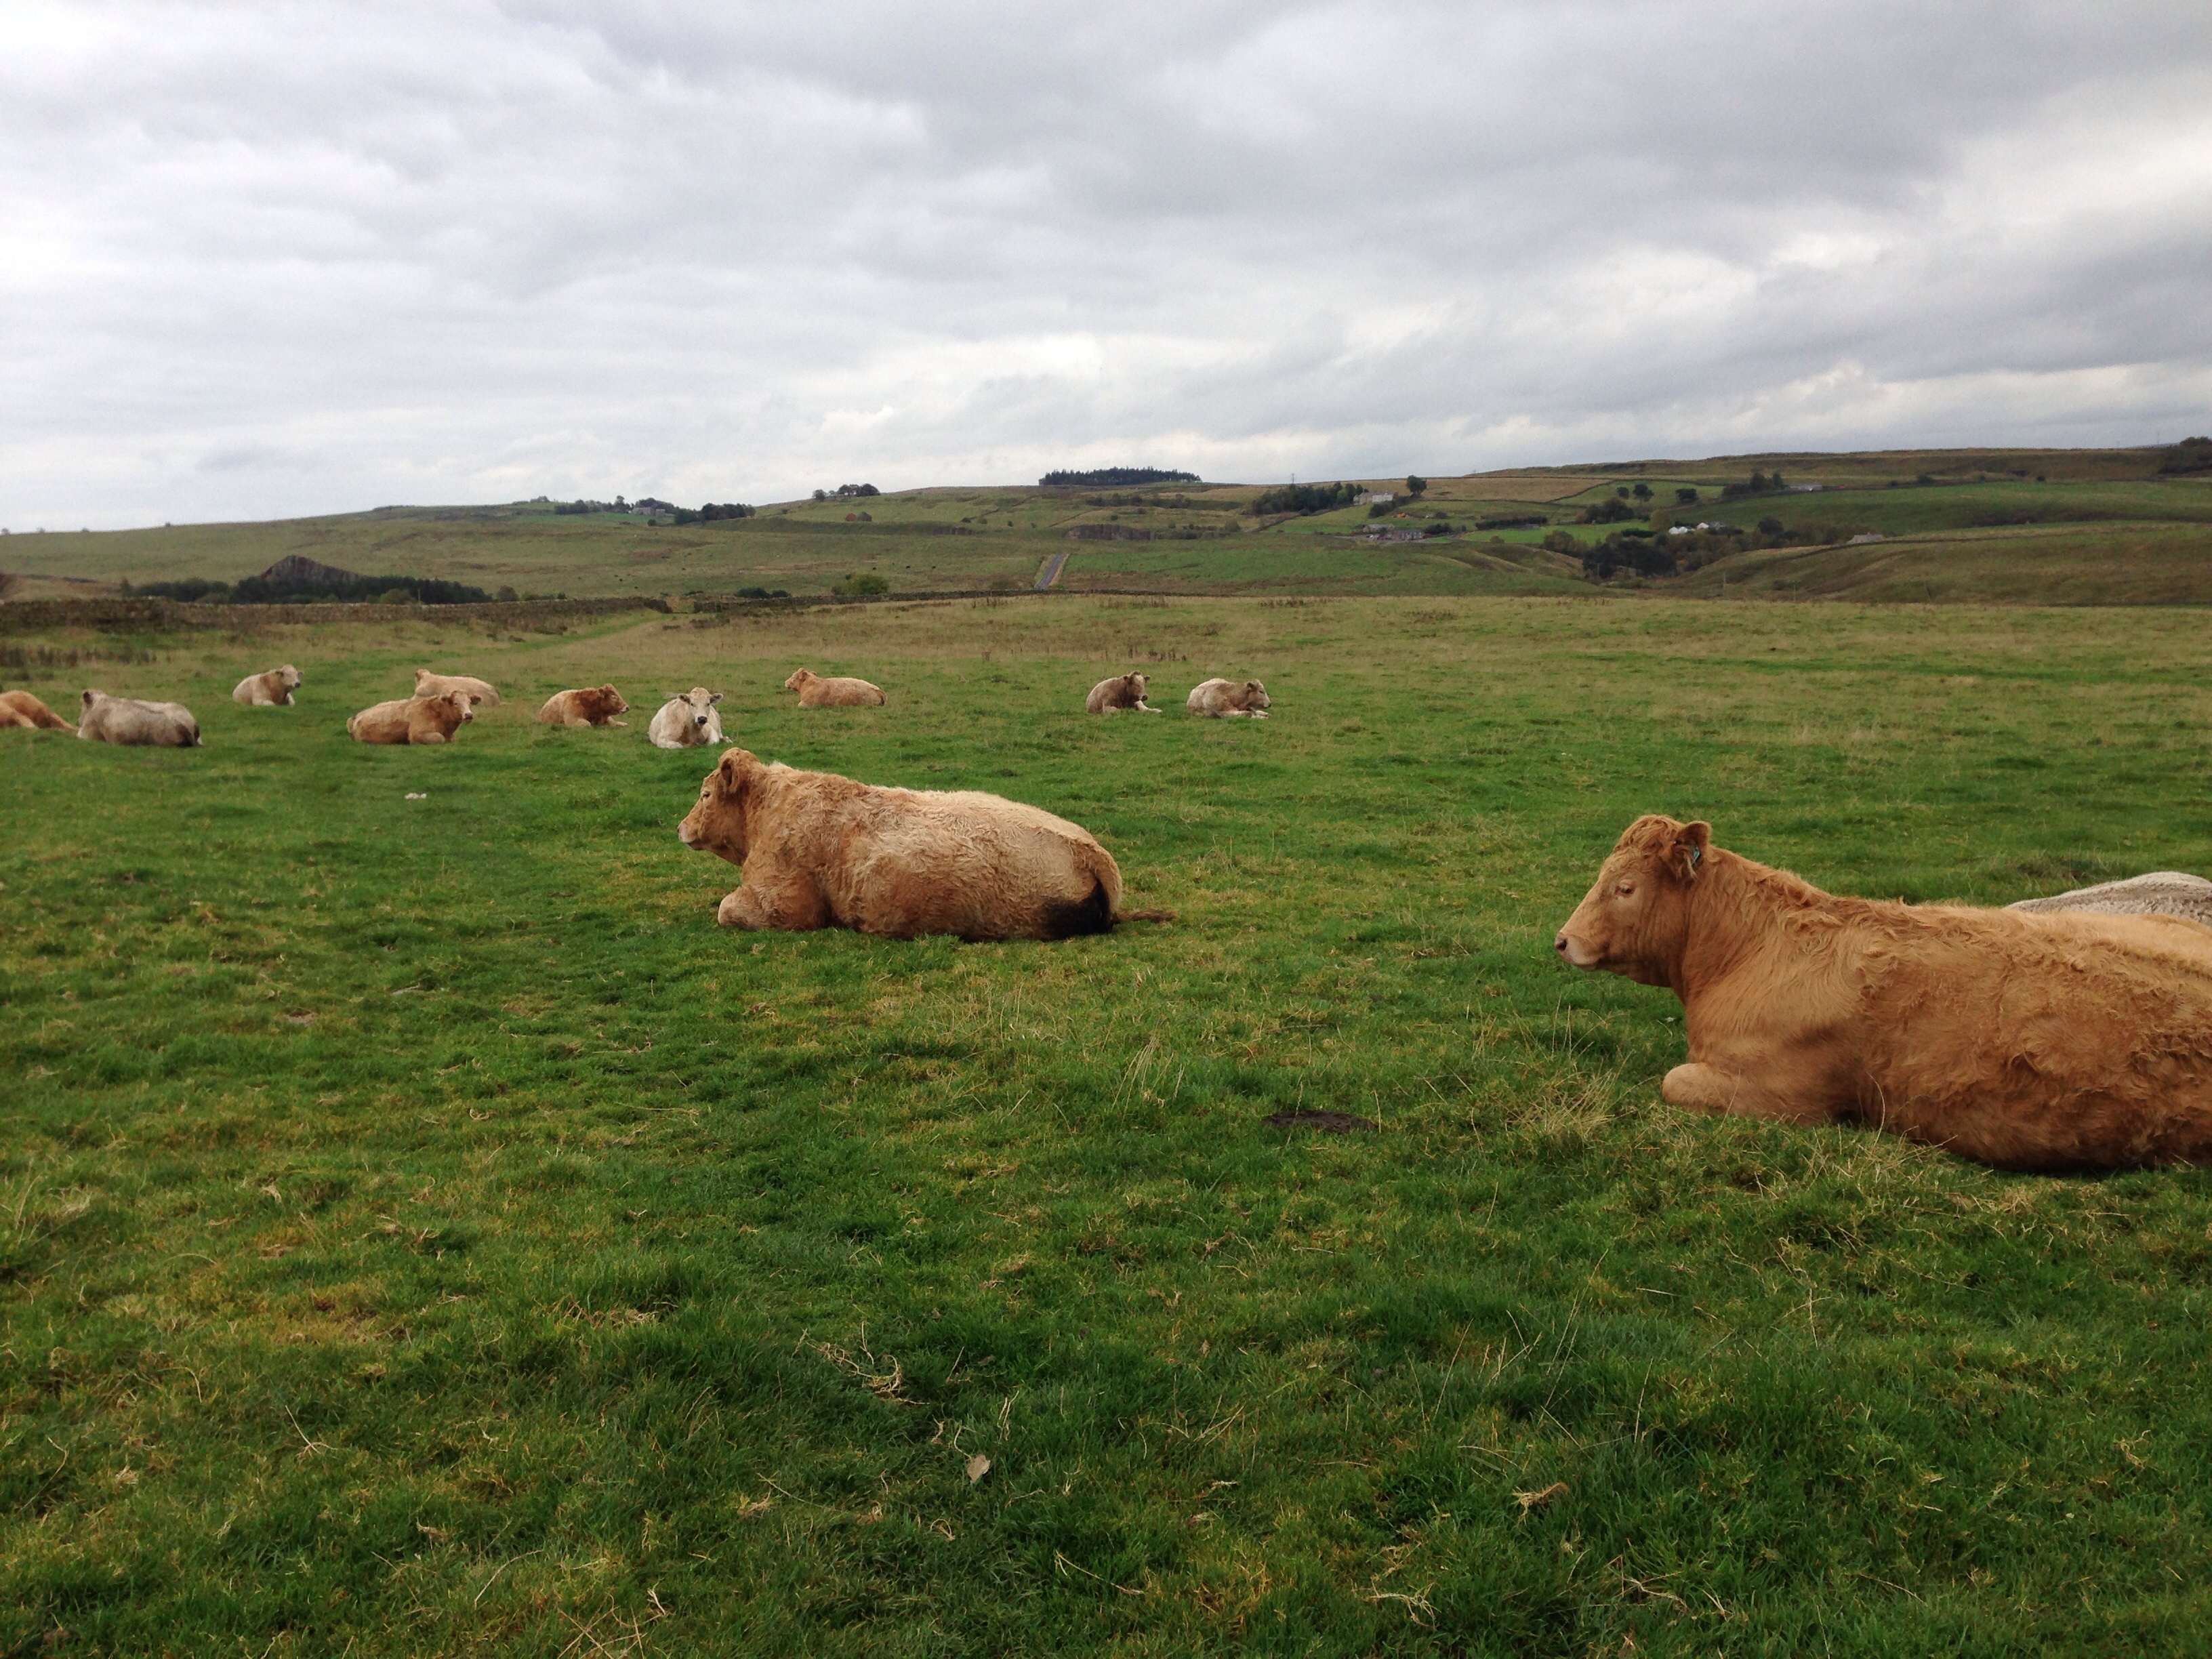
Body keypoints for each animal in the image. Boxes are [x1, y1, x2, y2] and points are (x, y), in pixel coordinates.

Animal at [347, 689, 475, 745]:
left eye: (469, 703)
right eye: (456, 703)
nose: (468, 715)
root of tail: (357, 716)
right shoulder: (417, 734)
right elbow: (440, 738)